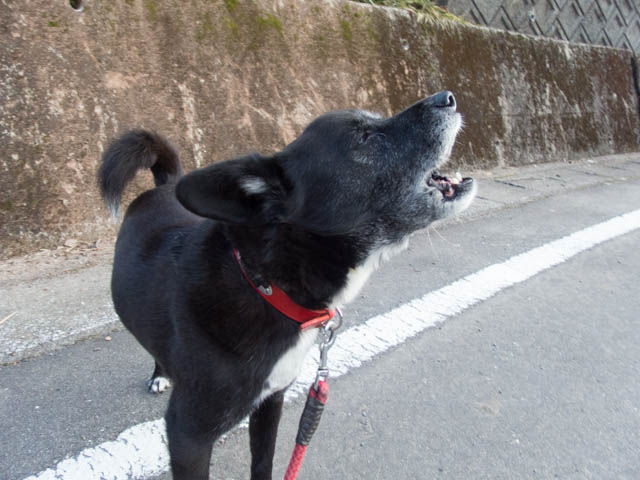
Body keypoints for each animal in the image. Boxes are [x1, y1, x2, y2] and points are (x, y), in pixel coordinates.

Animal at [98, 90, 476, 479]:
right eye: (364, 137)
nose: (447, 97)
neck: (264, 285)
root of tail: (165, 185)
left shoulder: (271, 401)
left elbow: (263, 461)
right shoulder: (188, 435)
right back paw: (160, 374)